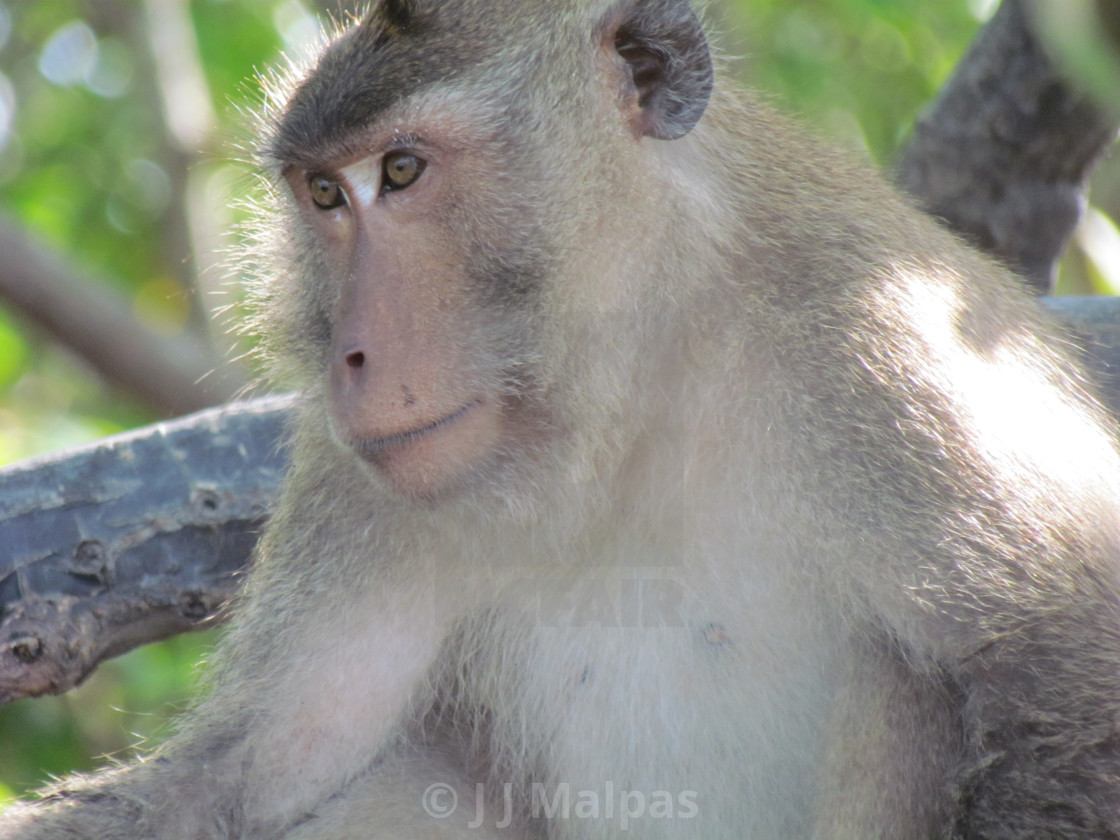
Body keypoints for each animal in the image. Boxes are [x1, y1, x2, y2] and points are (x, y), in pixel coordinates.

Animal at [2, 0, 1120, 837]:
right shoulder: (356, 478)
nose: (352, 357)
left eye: (401, 171)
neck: (627, 394)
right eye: (324, 195)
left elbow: (1062, 664)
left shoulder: (879, 349)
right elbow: (247, 769)